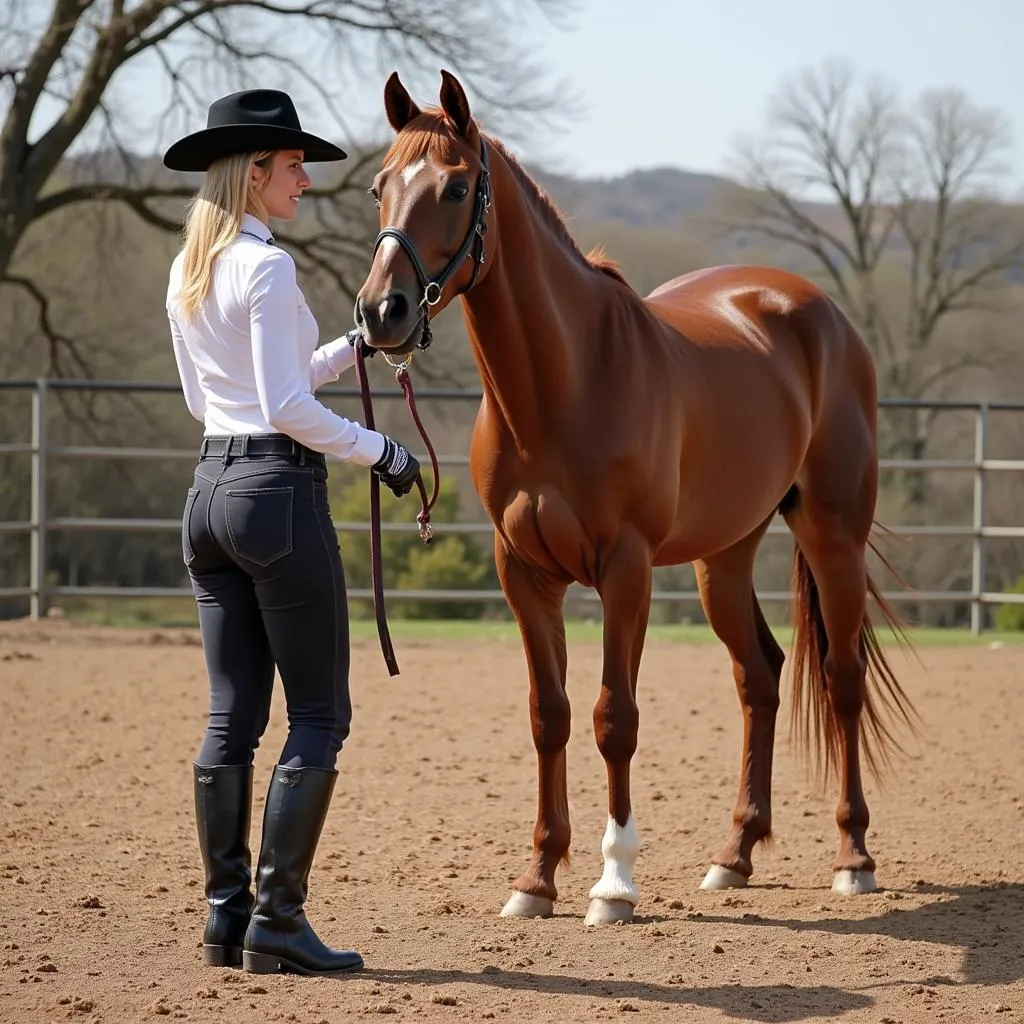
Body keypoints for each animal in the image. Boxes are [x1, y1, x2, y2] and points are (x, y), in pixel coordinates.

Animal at [356, 68, 917, 925]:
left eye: (454, 187)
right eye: (380, 186)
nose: (380, 312)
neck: (564, 384)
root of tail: (816, 312)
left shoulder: (625, 568)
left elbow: (613, 717)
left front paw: (613, 883)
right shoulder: (524, 573)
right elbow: (549, 716)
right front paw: (536, 879)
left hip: (833, 536)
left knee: (842, 677)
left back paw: (853, 858)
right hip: (725, 555)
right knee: (760, 676)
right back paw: (734, 856)